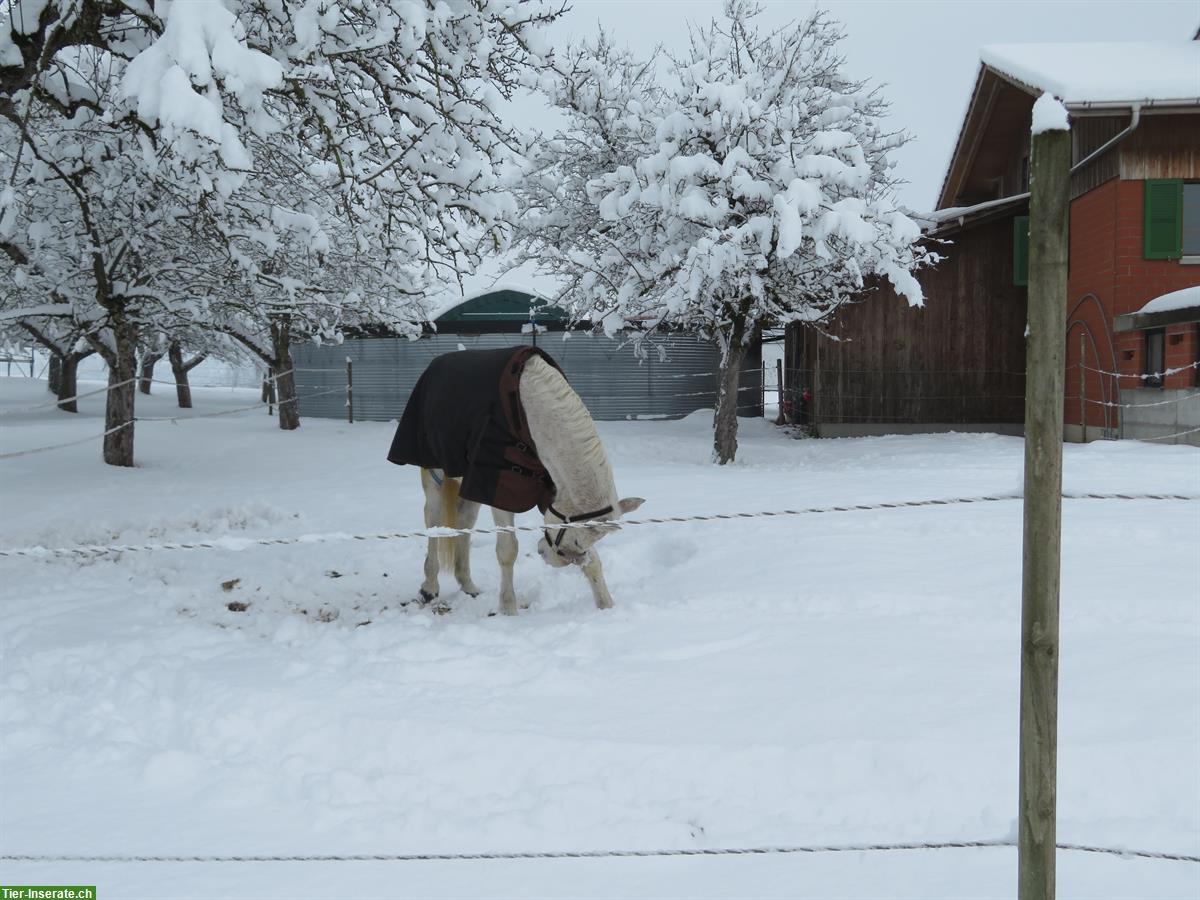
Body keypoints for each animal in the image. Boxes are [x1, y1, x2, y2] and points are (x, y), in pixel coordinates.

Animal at [415, 355, 643, 619]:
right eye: (576, 542)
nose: (549, 557)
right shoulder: (500, 494)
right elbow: (507, 551)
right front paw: (508, 610)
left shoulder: (552, 491)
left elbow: (594, 561)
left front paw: (606, 606)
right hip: (434, 475)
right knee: (432, 520)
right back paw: (429, 587)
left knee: (464, 521)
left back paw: (468, 585)